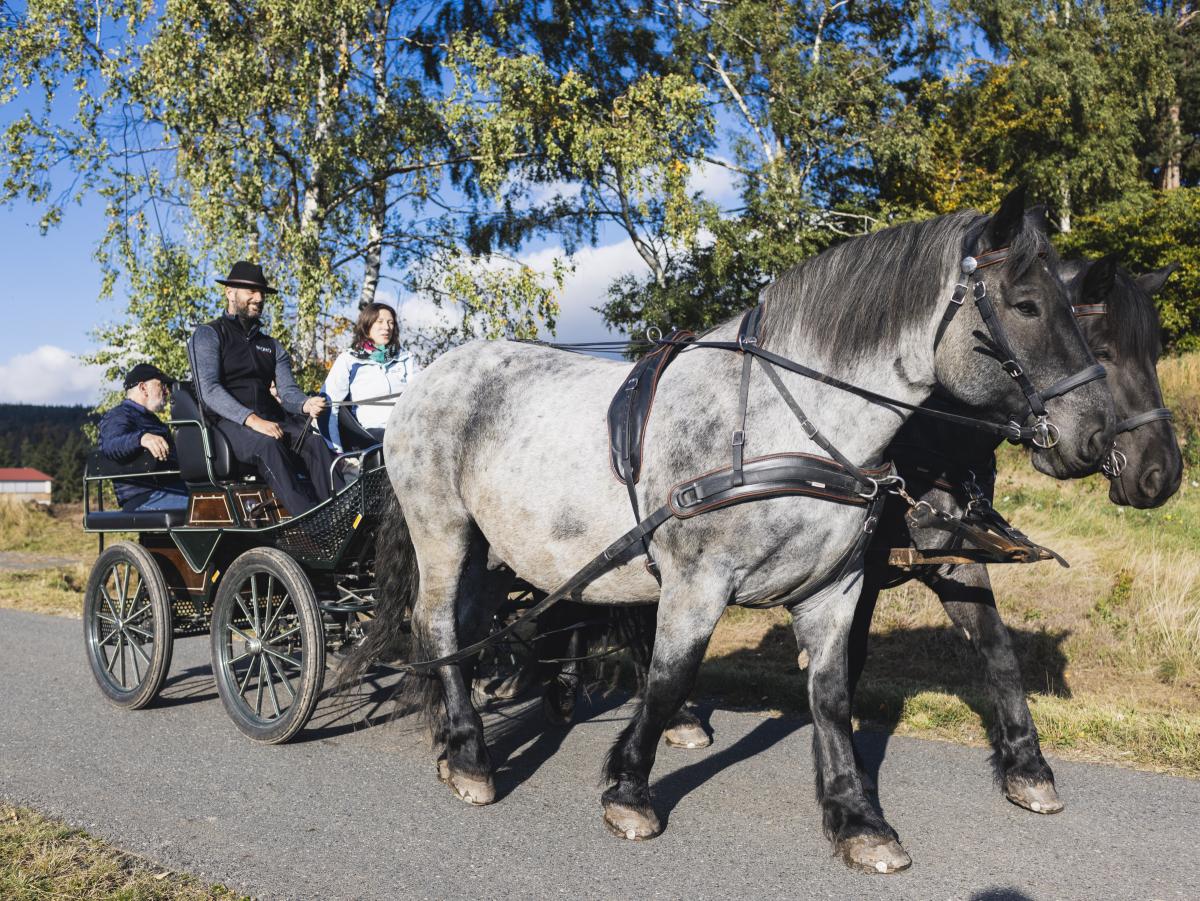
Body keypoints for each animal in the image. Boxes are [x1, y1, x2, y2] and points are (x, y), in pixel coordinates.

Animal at [358, 189, 1115, 873]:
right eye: (1025, 305)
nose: (1095, 437)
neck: (788, 427)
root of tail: (431, 376)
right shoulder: (697, 582)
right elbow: (670, 678)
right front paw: (629, 789)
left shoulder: (836, 587)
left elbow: (832, 696)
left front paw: (857, 818)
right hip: (443, 529)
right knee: (438, 624)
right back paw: (468, 753)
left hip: (499, 550)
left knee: (481, 622)